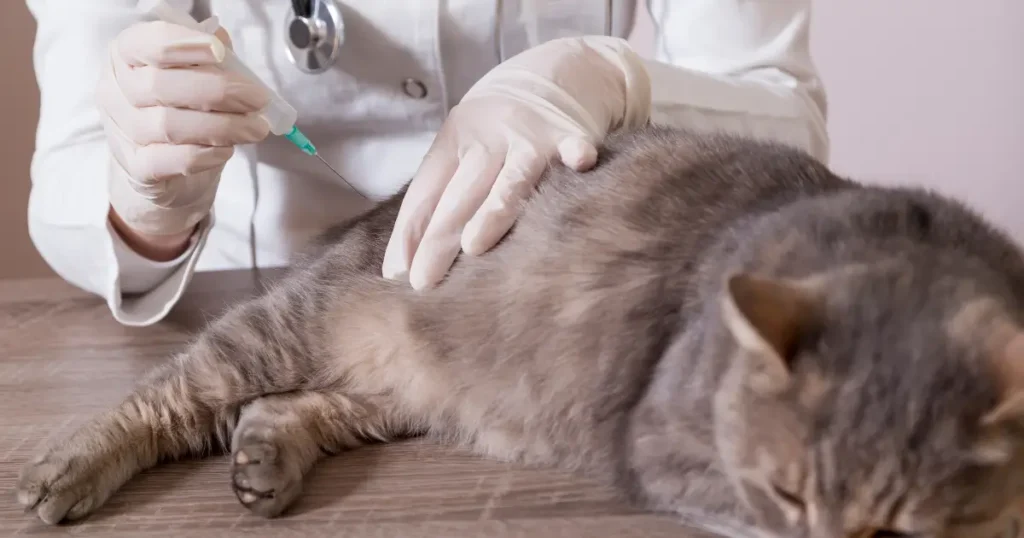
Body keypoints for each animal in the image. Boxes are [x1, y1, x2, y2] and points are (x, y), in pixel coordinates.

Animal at [12, 126, 1024, 536]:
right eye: (788, 491)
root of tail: (388, 202)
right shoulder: (668, 449)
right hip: (290, 328)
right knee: (171, 392)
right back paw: (65, 469)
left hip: (399, 390)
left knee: (288, 409)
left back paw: (266, 458)